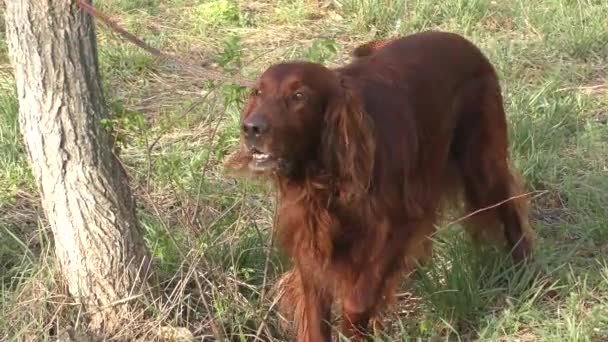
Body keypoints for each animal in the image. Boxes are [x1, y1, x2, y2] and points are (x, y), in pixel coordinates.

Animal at [226, 30, 536, 340]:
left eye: (299, 96)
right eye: (258, 93)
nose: (251, 128)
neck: (327, 177)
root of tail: (464, 42)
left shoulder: (396, 227)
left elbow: (358, 300)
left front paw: (356, 330)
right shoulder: (311, 241)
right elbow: (317, 315)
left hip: (482, 165)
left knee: (509, 208)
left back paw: (526, 270)